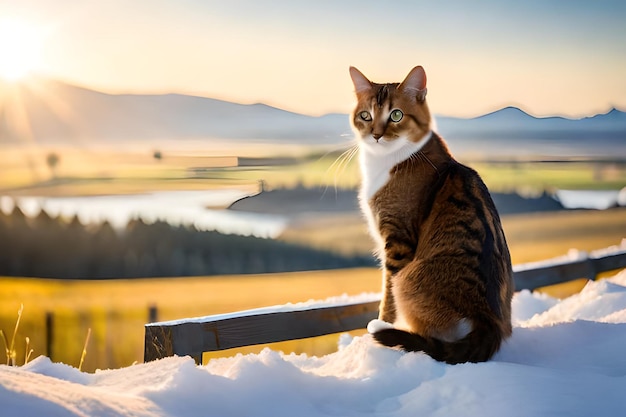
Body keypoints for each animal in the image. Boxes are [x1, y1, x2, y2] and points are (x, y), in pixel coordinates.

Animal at [346, 66, 512, 362]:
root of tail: (489, 321)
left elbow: (387, 290)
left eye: (396, 114)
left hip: (410, 278)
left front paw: (383, 323)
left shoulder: (398, 240)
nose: (376, 134)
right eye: (365, 115)